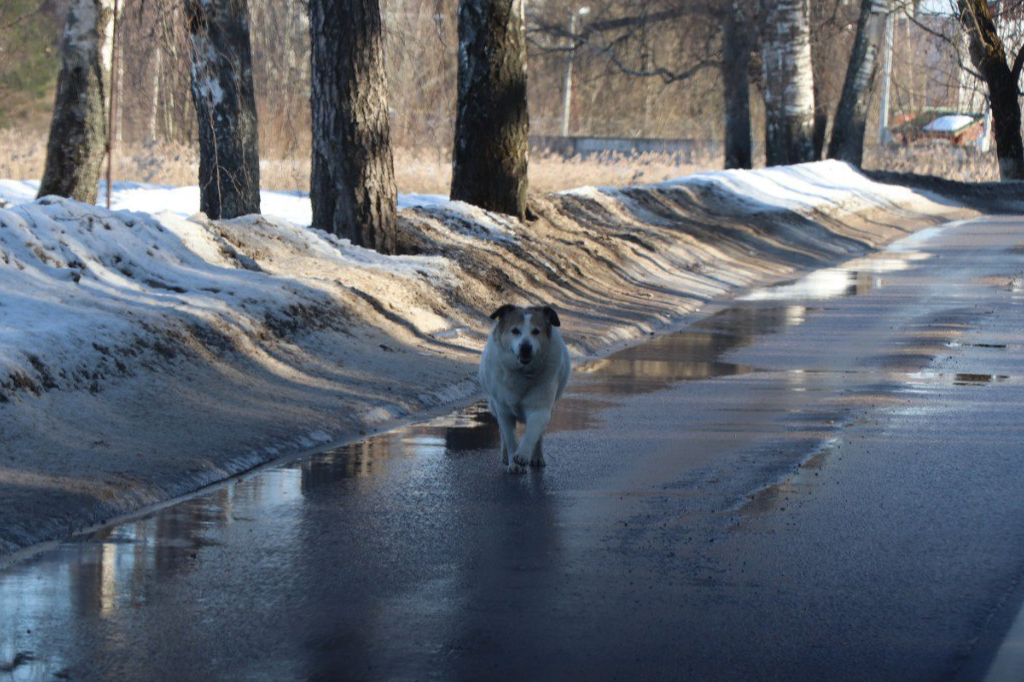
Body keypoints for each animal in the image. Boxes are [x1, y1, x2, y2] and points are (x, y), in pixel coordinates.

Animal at [477, 303, 573, 473]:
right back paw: (505, 455)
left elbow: (533, 432)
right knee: (502, 432)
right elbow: (509, 438)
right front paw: (513, 463)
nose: (525, 347)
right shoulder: (503, 410)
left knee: (539, 435)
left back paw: (536, 457)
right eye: (515, 330)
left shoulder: (540, 407)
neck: (522, 371)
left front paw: (522, 455)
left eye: (536, 331)